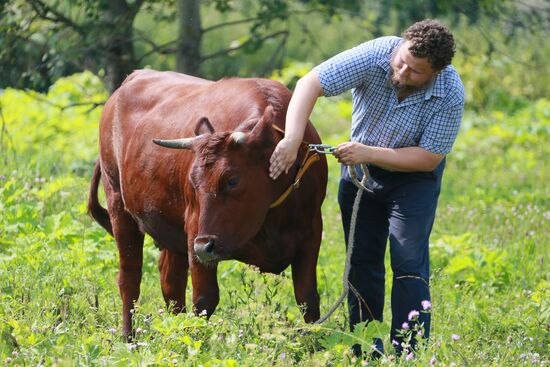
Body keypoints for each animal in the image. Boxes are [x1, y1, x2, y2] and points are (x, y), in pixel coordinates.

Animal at [87, 69, 328, 340]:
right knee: (129, 279)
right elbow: (204, 301)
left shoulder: (311, 233)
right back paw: (129, 339)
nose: (205, 246)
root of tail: (135, 76)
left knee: (171, 282)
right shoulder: (194, 228)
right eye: (193, 181)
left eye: (232, 180)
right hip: (119, 207)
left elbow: (308, 299)